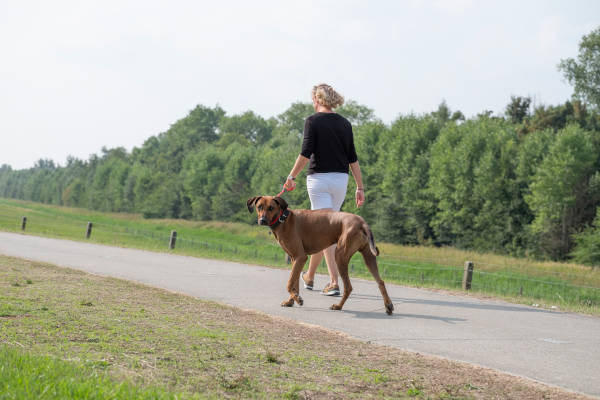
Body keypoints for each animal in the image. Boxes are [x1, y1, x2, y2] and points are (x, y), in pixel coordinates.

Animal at [247, 195, 394, 314]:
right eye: (259, 207)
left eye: (271, 207)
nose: (262, 220)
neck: (284, 219)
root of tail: (362, 223)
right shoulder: (295, 259)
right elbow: (294, 283)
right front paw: (292, 300)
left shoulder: (300, 257)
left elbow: (289, 283)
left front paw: (297, 300)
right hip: (369, 257)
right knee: (380, 281)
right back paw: (388, 305)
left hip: (340, 257)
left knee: (348, 287)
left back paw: (338, 306)